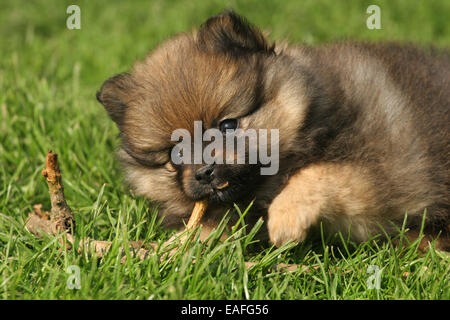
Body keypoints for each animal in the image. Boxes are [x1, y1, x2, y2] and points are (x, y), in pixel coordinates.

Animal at [97, 10, 450, 250]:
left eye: (228, 125)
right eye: (176, 154)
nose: (204, 173)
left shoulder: (388, 172)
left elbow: (323, 173)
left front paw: (284, 217)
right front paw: (167, 252)